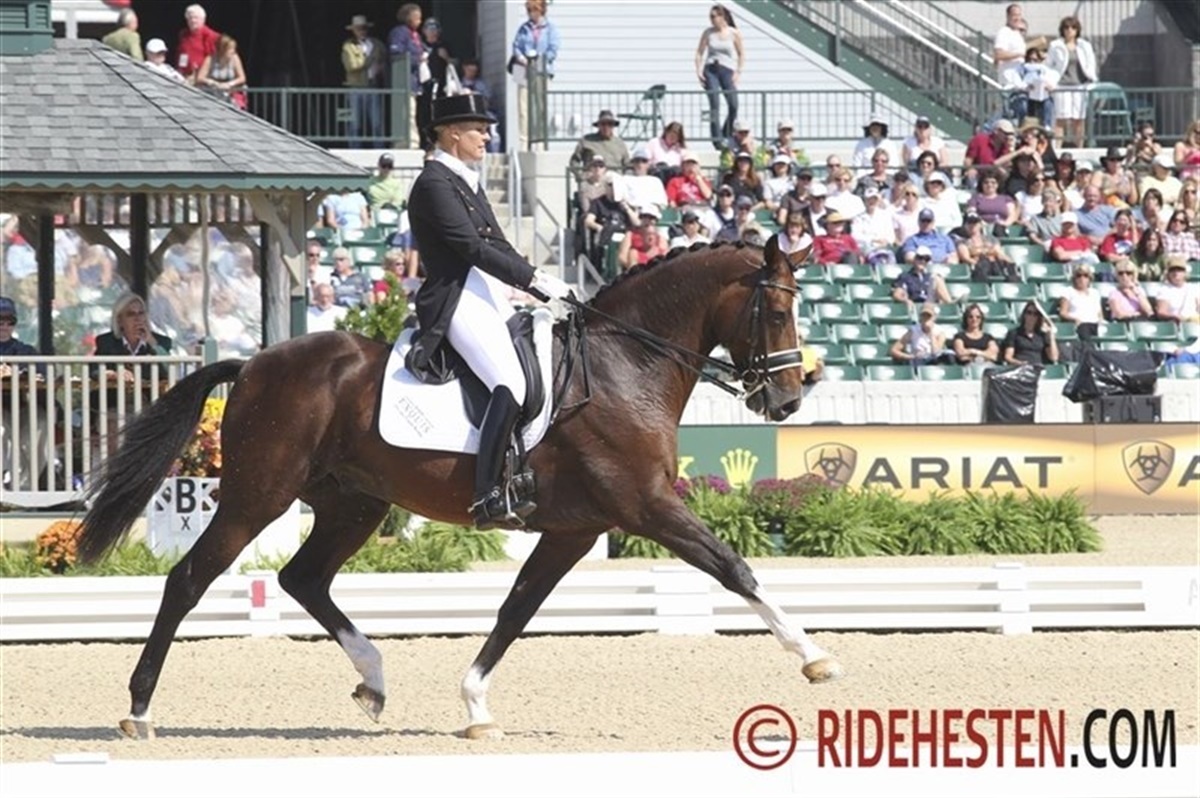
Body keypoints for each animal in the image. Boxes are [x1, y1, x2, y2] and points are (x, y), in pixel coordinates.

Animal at [76, 237, 842, 741]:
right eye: (777, 313)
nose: (787, 401)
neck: (626, 363)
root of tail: (257, 361)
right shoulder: (646, 506)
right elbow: (734, 568)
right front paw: (815, 658)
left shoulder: (575, 529)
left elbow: (515, 610)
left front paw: (475, 706)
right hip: (257, 494)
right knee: (191, 578)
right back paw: (139, 709)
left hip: (354, 503)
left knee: (303, 579)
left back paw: (374, 681)